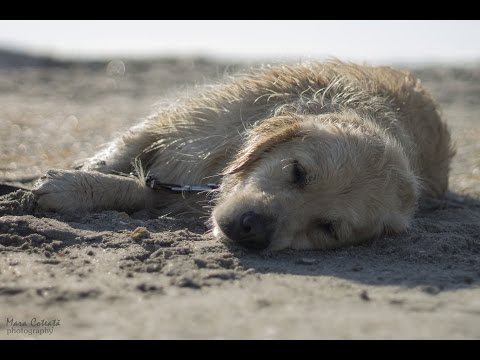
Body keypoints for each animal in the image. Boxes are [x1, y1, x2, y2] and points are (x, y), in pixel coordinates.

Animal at [32, 61, 454, 250]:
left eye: (328, 228)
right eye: (297, 171)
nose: (253, 229)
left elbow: (143, 190)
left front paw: (74, 189)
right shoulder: (197, 120)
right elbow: (128, 146)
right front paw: (86, 172)